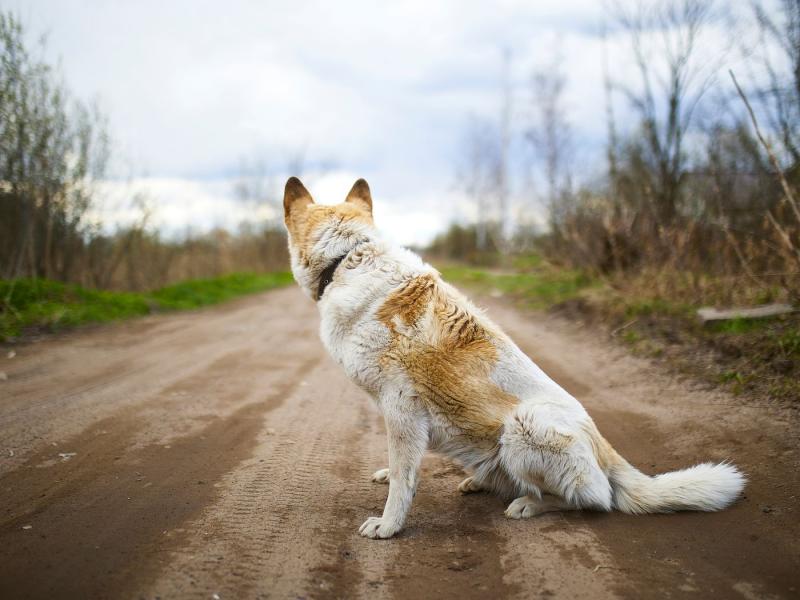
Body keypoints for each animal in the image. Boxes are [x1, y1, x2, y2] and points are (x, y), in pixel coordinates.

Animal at [284, 177, 748, 540]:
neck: (346, 259)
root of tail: (605, 449)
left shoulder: (401, 406)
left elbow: (403, 479)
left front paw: (389, 525)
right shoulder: (399, 414)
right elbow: (402, 466)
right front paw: (386, 478)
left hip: (523, 427)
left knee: (594, 499)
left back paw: (528, 504)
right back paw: (481, 482)